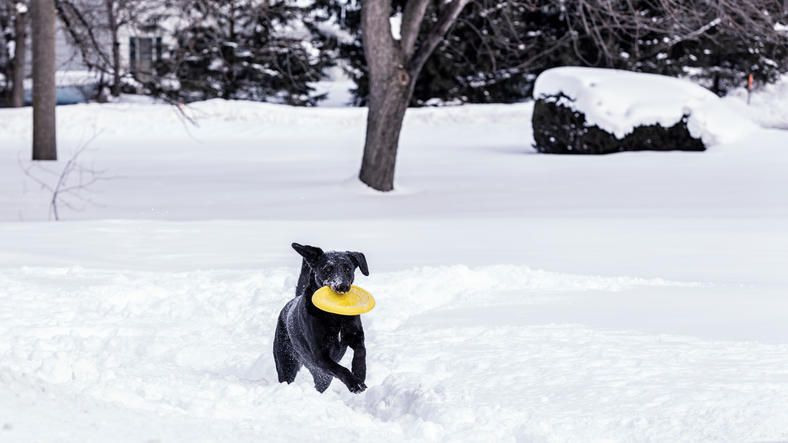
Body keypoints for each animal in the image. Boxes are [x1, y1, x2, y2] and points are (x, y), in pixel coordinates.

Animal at [272, 245, 368, 394]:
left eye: (348, 268)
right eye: (327, 269)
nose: (342, 286)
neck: (335, 315)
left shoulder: (356, 336)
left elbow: (361, 352)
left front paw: (359, 373)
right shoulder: (320, 356)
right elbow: (341, 369)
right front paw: (354, 383)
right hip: (287, 362)